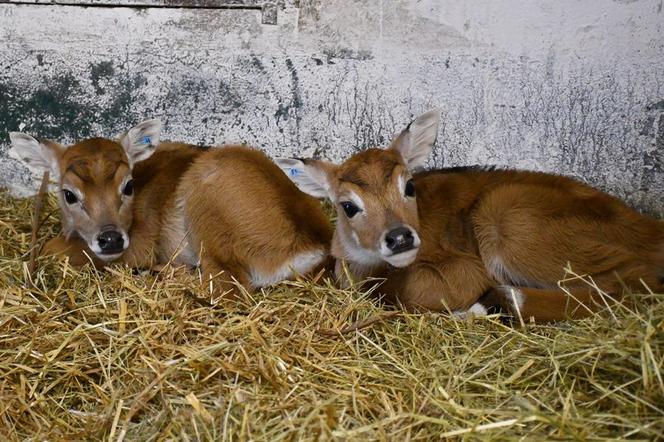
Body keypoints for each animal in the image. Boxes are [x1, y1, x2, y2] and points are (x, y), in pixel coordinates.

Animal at [10, 119, 332, 296]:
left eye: (128, 186)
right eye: (68, 194)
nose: (111, 238)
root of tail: (311, 245)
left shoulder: (139, 244)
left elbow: (51, 248)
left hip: (207, 205)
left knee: (228, 286)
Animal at [278, 107, 664, 322]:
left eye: (409, 186)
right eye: (348, 206)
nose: (400, 236)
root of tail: (651, 227)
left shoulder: (466, 266)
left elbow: (411, 290)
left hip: (513, 224)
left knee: (628, 283)